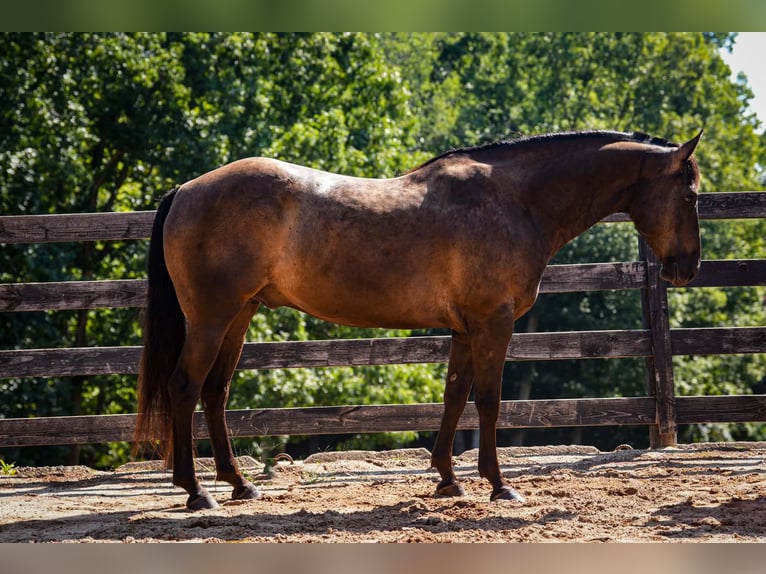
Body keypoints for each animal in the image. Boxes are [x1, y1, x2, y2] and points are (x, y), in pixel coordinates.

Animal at [135, 129, 702, 510]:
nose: (687, 267)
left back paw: (238, 483)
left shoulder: (464, 328)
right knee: (186, 387)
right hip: (211, 318)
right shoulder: (492, 323)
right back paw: (196, 492)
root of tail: (186, 189)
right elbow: (489, 401)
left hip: (240, 314)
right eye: (691, 194)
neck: (514, 200)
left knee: (215, 392)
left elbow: (454, 396)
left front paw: (448, 478)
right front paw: (499, 485)